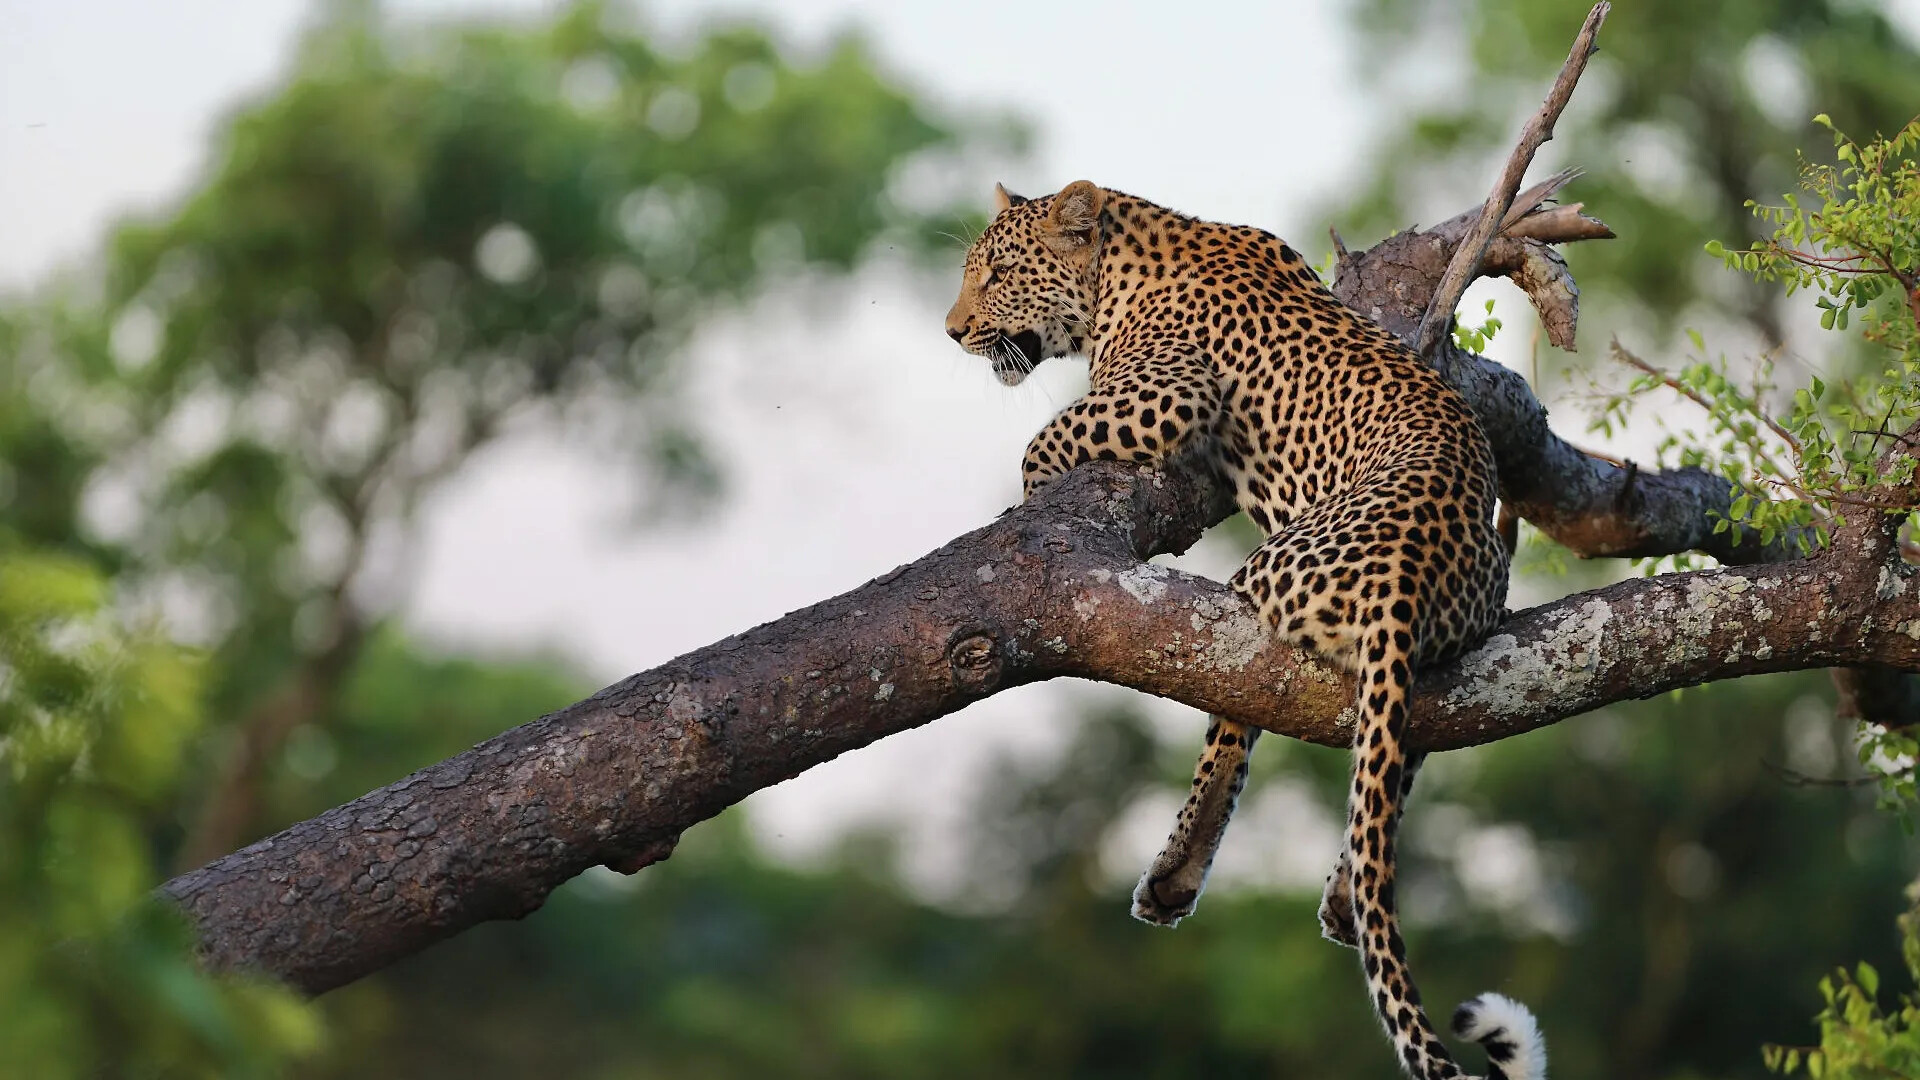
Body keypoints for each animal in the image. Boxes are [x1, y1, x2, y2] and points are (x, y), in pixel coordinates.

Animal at [945, 180, 1545, 1080]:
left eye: (1000, 273)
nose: (952, 331)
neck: (1125, 252)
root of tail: (1409, 575)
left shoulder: (1164, 390)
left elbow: (1040, 443)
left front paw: (1027, 497)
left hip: (1257, 584)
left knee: (1236, 718)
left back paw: (1176, 873)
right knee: (1398, 757)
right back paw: (1342, 897)